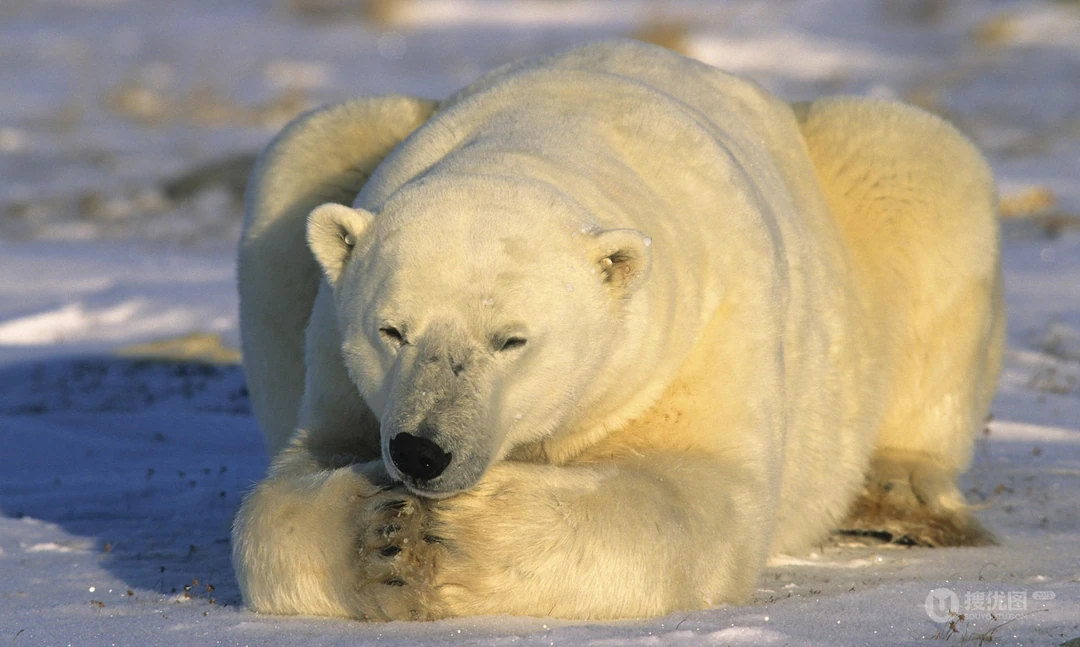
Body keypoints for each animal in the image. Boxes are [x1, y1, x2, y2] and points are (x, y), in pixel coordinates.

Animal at [232, 40, 1004, 621]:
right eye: (391, 330)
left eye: (510, 339)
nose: (422, 451)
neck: (549, 133)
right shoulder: (343, 370)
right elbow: (290, 484)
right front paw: (380, 533)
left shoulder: (704, 325)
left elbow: (697, 494)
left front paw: (451, 533)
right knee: (303, 154)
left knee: (922, 169)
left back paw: (902, 491)